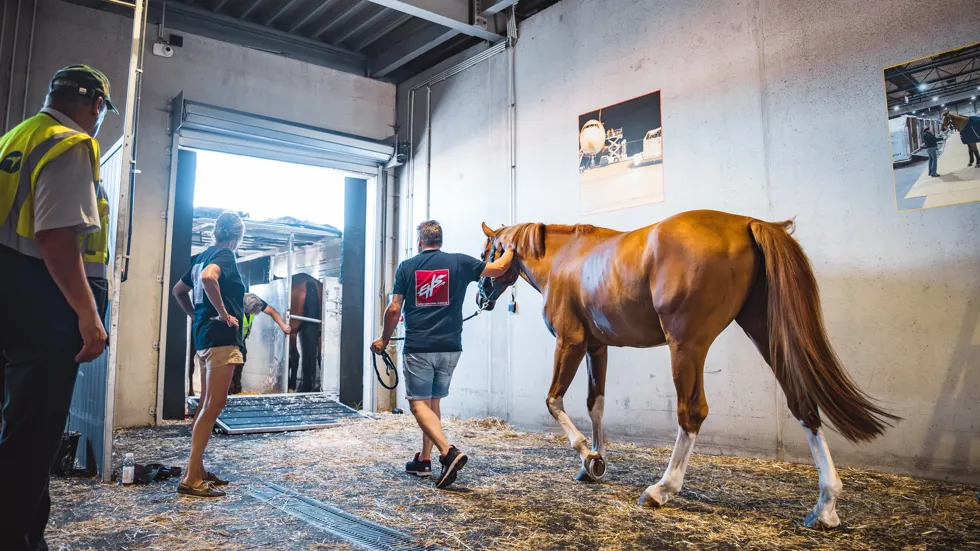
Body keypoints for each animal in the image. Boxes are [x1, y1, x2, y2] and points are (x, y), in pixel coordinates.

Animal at [475, 210, 900, 529]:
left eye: (486, 251)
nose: (480, 296)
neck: (565, 258)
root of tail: (748, 222)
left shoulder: (571, 343)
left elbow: (554, 400)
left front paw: (587, 454)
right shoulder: (597, 347)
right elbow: (595, 404)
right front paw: (592, 463)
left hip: (687, 347)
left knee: (691, 412)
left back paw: (661, 489)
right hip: (768, 337)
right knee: (804, 405)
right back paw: (825, 507)